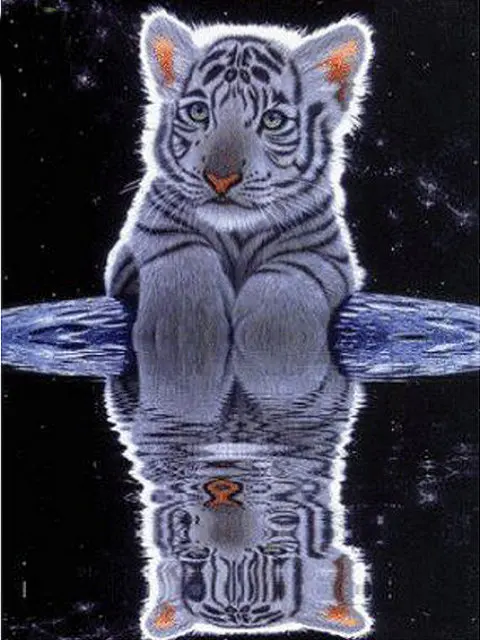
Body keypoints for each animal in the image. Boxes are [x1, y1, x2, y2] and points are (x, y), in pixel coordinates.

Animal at [104, 10, 374, 344]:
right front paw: (183, 329)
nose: (220, 179)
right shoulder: (138, 245)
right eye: (198, 112)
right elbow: (179, 248)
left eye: (273, 120)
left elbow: (291, 276)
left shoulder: (325, 253)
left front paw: (274, 338)